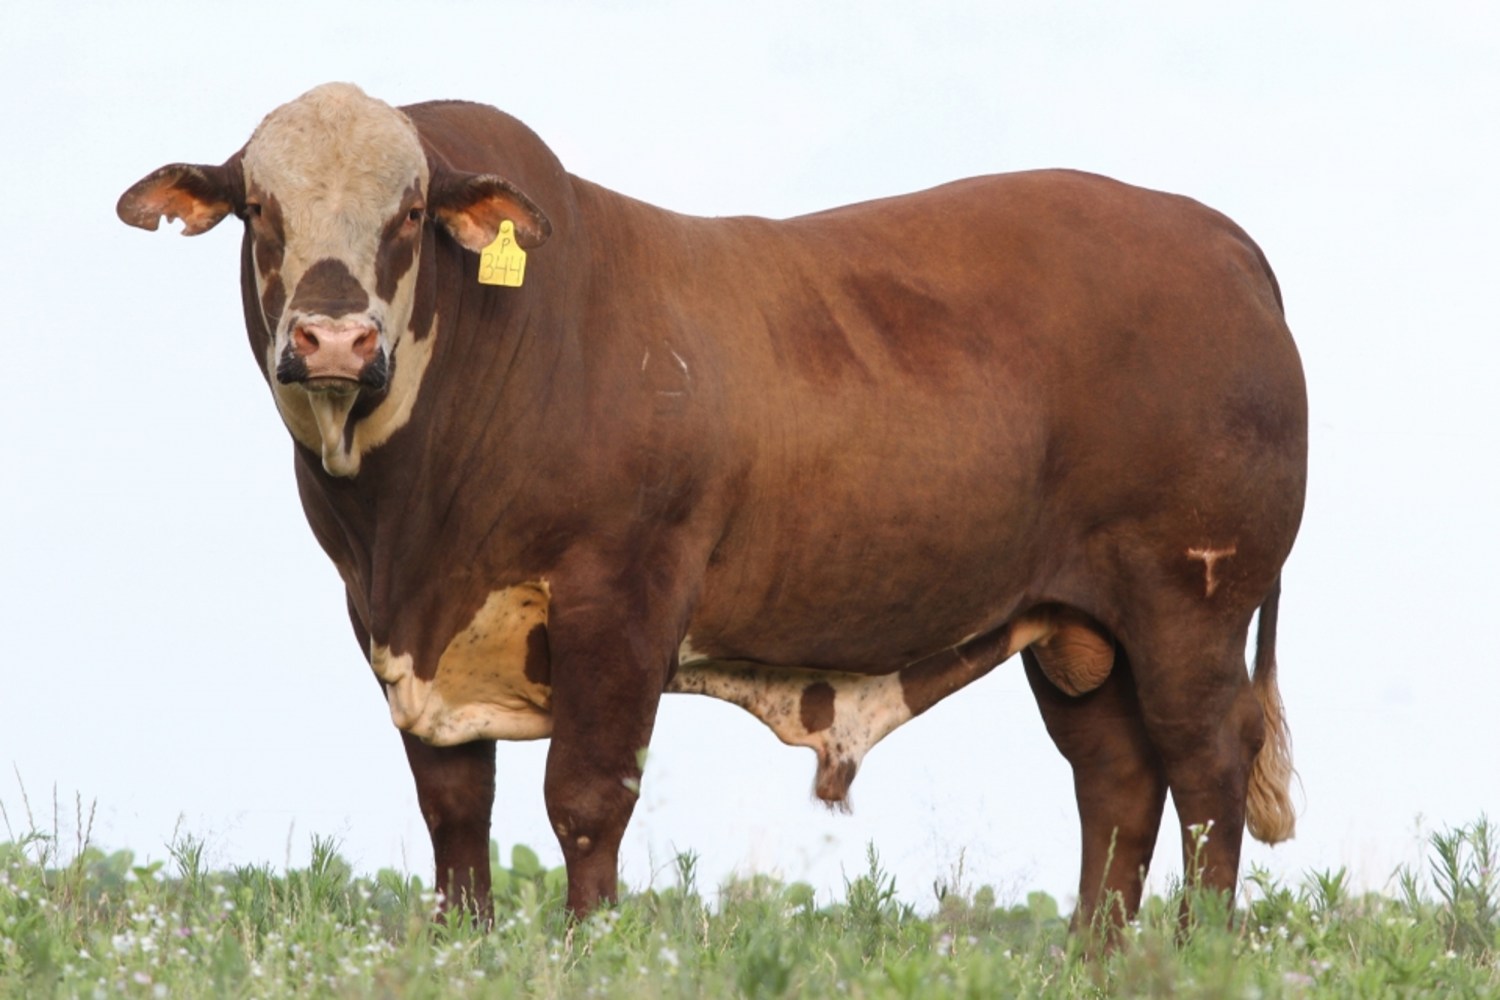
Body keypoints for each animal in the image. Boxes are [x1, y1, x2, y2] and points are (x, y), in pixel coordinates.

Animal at [123, 82, 1308, 929]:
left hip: (1193, 599)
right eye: (259, 207)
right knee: (1117, 783)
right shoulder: (404, 637)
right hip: (1077, 629)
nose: (334, 337)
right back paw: (1094, 959)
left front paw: (589, 949)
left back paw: (1199, 951)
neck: (409, 529)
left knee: (1207, 767)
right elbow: (455, 815)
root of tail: (1218, 238)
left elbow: (586, 797)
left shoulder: (624, 590)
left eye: (410, 210)